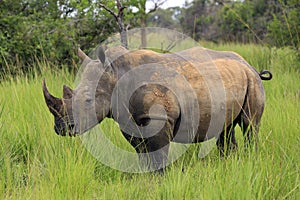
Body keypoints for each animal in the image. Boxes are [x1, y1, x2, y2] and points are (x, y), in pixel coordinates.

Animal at [42, 46, 272, 173]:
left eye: (88, 101)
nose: (61, 128)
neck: (117, 73)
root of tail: (249, 65)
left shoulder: (160, 119)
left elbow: (158, 155)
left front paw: (159, 180)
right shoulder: (131, 120)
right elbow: (142, 153)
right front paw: (146, 178)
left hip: (252, 80)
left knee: (250, 125)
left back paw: (250, 159)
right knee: (225, 129)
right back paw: (229, 163)